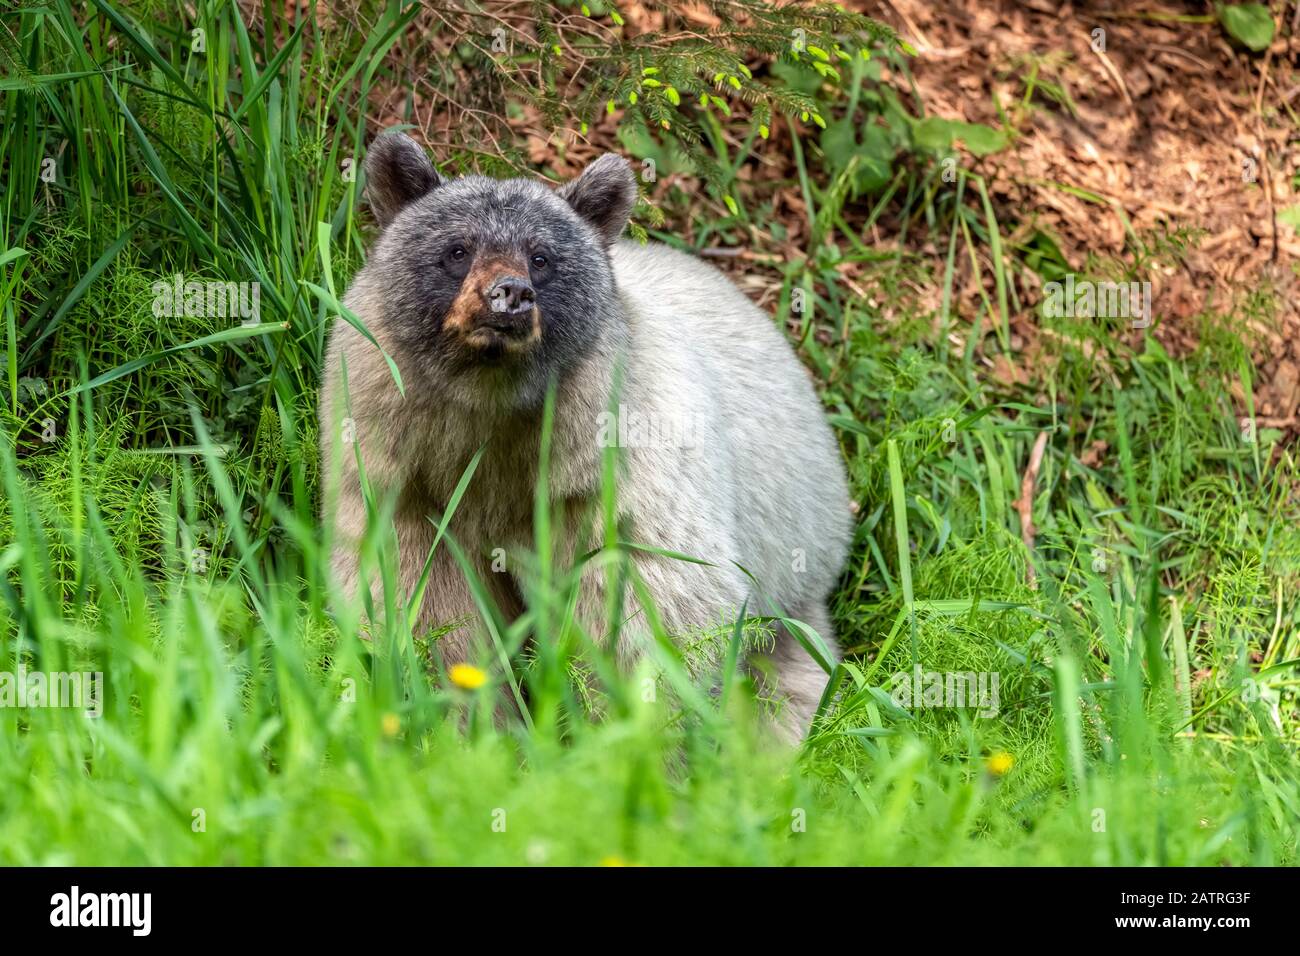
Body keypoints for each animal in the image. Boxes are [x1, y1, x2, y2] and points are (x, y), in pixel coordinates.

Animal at [322, 130, 852, 738]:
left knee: (785, 682)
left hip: (789, 574)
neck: (491, 407)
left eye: (542, 256)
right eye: (457, 249)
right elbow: (426, 602)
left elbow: (649, 600)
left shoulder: (613, 461)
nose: (509, 294)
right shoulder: (404, 471)